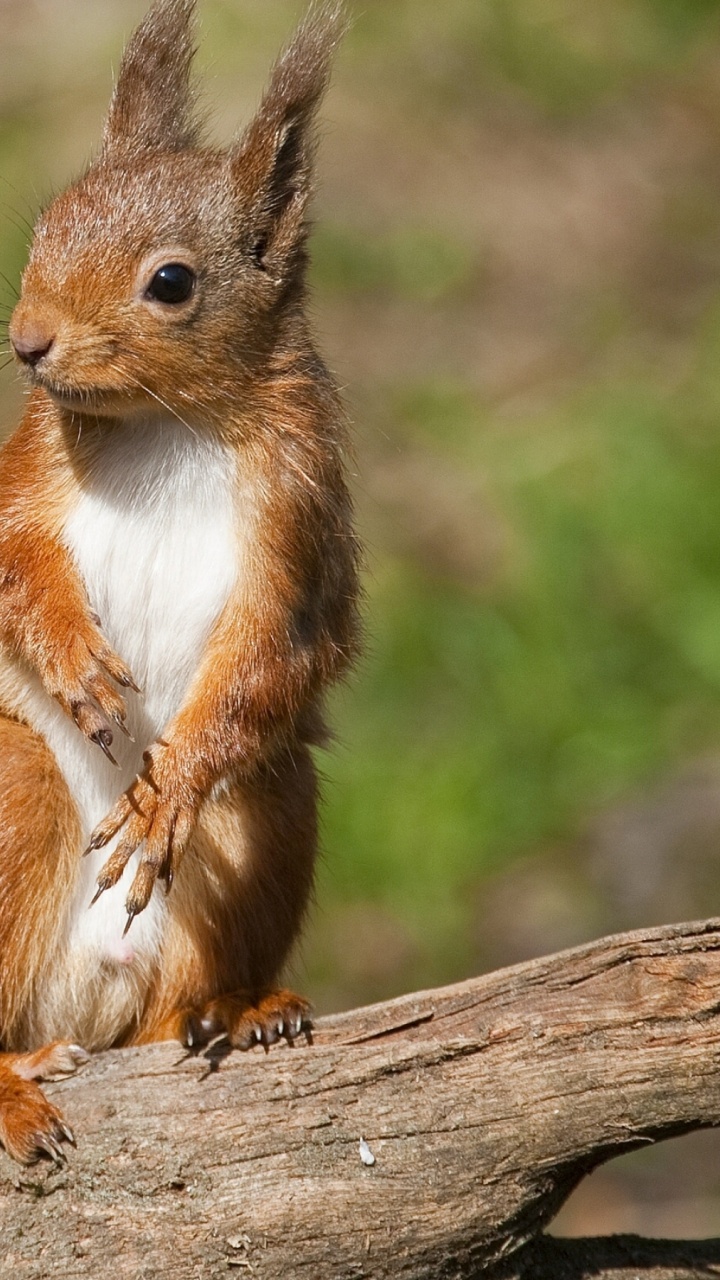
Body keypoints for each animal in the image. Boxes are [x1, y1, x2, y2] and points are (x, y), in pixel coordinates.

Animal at [0, 0, 359, 1164]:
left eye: (171, 282)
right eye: (45, 226)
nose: (27, 342)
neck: (168, 421)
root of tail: (85, 997)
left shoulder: (298, 526)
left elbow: (279, 652)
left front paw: (170, 791)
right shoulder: (25, 476)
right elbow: (15, 570)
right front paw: (78, 666)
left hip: (269, 813)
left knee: (169, 1005)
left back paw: (234, 1011)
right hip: (14, 795)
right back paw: (13, 1085)